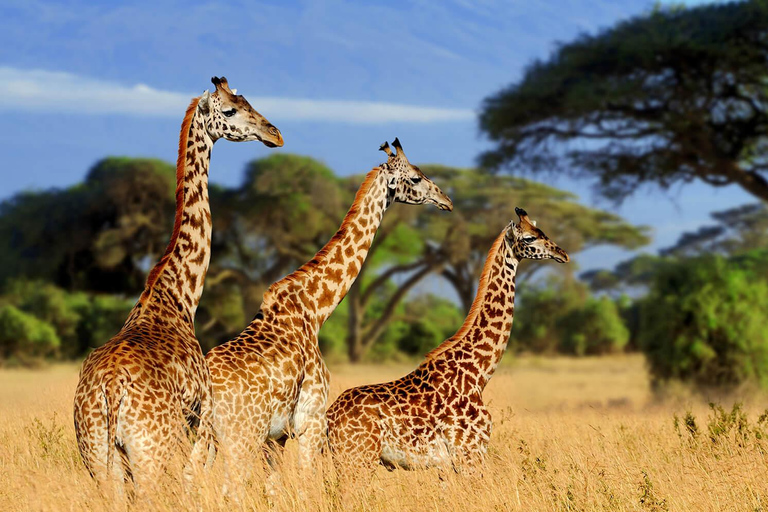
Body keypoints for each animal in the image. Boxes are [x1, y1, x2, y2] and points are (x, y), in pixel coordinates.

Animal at [71, 76, 282, 492]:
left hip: (98, 456)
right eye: (231, 109)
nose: (275, 134)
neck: (179, 295)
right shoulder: (201, 421)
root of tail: (111, 389)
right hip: (150, 452)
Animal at [207, 138, 452, 490]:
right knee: (231, 488)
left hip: (204, 438)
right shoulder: (310, 421)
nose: (446, 200)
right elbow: (307, 484)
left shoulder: (277, 437)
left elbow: (274, 488)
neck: (315, 309)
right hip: (241, 435)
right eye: (416, 178)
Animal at [326, 207, 568, 476]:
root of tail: (328, 418)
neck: (479, 373)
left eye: (541, 231)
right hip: (357, 458)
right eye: (529, 238)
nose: (563, 254)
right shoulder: (470, 453)